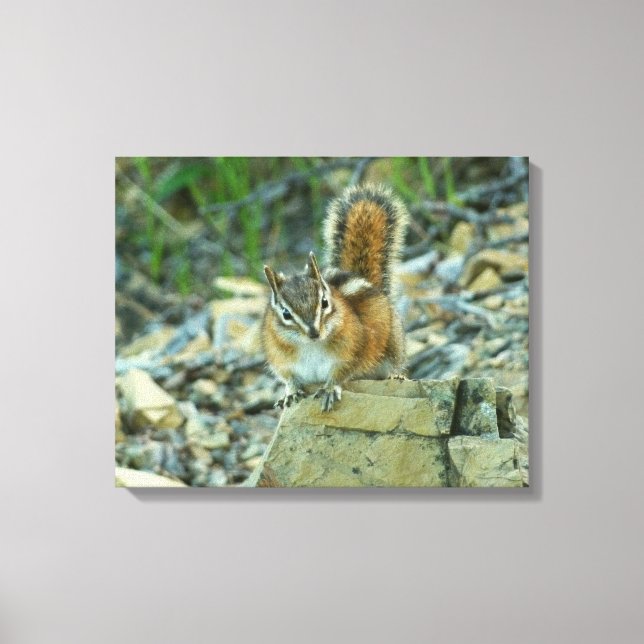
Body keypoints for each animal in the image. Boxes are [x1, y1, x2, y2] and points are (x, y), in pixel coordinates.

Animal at [262, 183, 409, 412]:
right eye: (285, 313)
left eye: (324, 302)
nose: (314, 333)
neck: (310, 346)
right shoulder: (281, 360)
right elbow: (289, 378)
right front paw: (291, 392)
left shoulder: (352, 351)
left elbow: (341, 373)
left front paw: (330, 389)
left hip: (393, 344)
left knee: (395, 364)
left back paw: (396, 376)